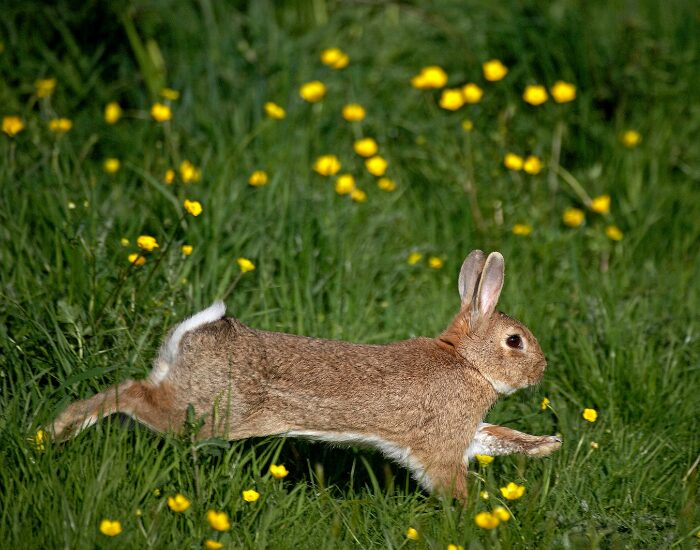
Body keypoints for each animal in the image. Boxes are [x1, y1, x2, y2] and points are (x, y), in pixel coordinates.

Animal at [49, 250, 561, 501]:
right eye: (515, 341)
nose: (541, 369)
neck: (467, 361)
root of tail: (193, 336)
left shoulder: (467, 433)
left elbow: (499, 437)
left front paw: (547, 446)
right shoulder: (441, 445)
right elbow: (450, 479)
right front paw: (475, 517)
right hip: (204, 415)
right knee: (131, 394)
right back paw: (54, 432)